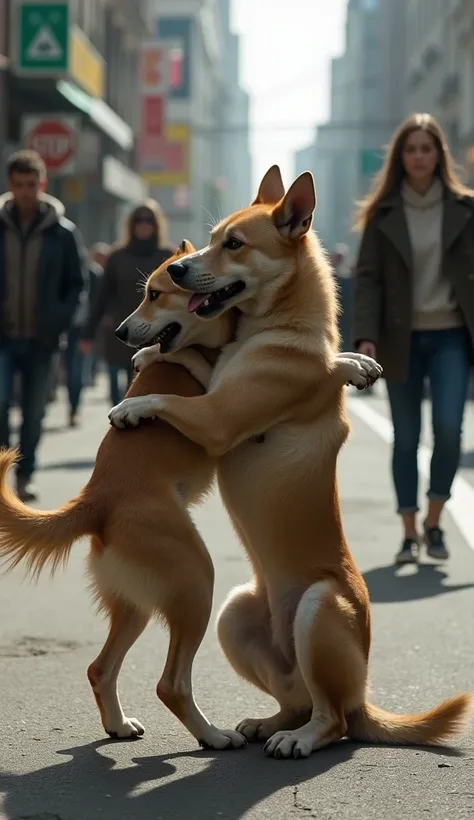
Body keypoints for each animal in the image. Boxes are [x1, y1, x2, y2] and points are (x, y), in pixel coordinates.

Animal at [0, 242, 248, 748]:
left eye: (155, 294)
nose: (117, 332)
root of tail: (96, 498)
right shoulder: (217, 404)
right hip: (195, 579)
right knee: (170, 684)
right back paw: (212, 736)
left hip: (134, 604)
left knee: (100, 668)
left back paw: (117, 723)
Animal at [109, 168, 472, 764]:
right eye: (212, 236)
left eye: (233, 245)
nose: (179, 267)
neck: (274, 331)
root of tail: (363, 699)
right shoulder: (219, 392)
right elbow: (197, 361)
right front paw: (150, 356)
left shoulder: (217, 418)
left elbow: (176, 393)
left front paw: (133, 404)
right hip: (234, 615)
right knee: (298, 701)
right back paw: (265, 722)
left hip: (319, 609)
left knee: (330, 720)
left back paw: (298, 740)